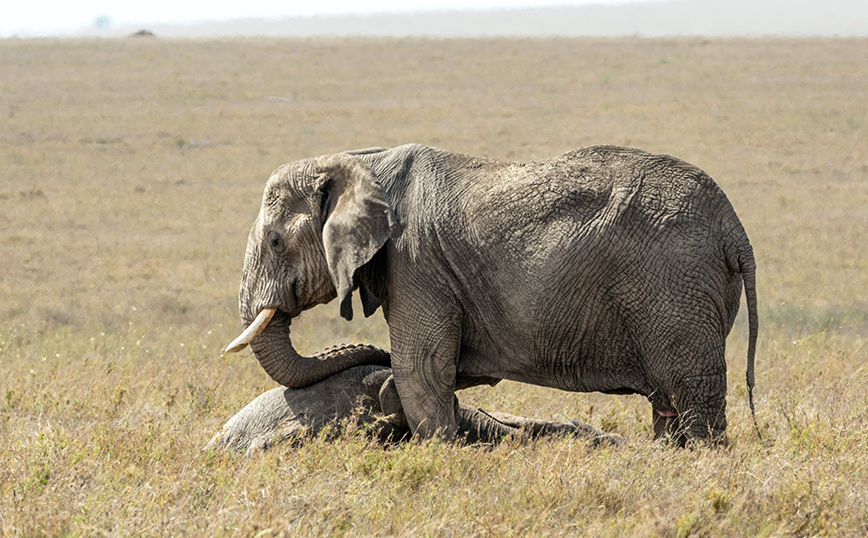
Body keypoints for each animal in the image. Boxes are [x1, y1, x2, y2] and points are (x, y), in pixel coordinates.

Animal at [225, 143, 760, 444]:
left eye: (275, 242)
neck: (360, 161)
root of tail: (735, 230)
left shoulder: (416, 264)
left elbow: (421, 369)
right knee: (668, 398)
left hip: (675, 283)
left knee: (692, 390)